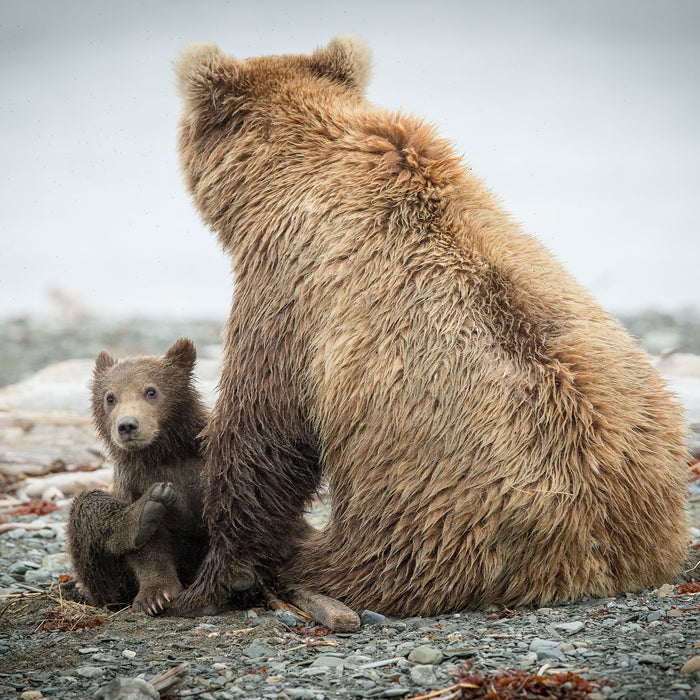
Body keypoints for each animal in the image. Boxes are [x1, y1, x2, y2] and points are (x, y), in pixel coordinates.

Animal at [68, 340, 211, 612]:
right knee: (88, 506)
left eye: (151, 391)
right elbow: (149, 550)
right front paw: (155, 596)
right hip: (109, 585)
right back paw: (142, 513)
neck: (163, 455)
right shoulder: (134, 481)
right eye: (110, 397)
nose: (127, 425)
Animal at [168, 39, 688, 616]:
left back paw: (300, 569)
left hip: (431, 517)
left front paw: (214, 578)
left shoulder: (288, 286)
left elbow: (261, 431)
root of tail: (597, 558)